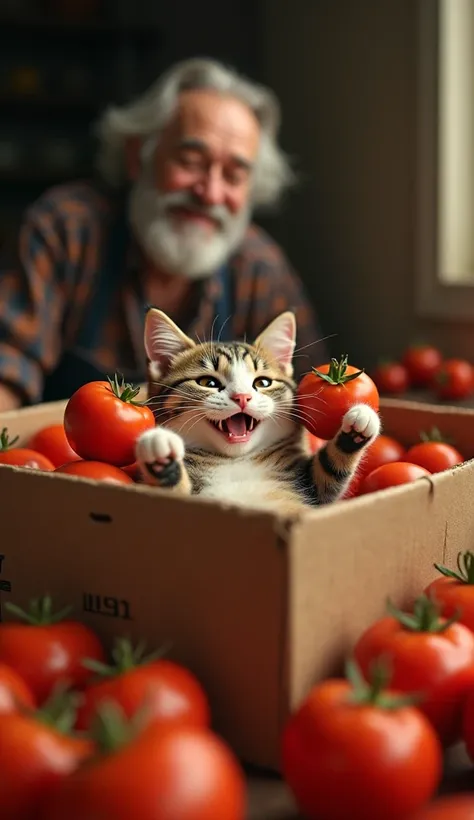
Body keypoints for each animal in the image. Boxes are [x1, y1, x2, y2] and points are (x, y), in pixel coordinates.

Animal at [134, 308, 382, 512]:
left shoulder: (309, 489)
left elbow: (327, 475)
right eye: (208, 382)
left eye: (262, 383)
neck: (235, 461)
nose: (242, 397)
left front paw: (359, 425)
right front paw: (162, 456)